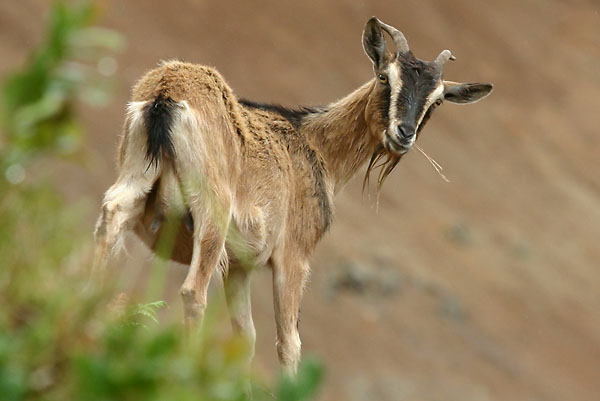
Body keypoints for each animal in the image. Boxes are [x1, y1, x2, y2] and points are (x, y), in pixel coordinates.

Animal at [94, 17, 492, 374]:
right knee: (193, 292)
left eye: (437, 101)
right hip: (213, 211)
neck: (316, 149)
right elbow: (289, 343)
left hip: (134, 181)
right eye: (384, 77)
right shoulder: (294, 256)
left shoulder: (240, 266)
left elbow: (245, 338)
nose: (403, 133)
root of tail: (166, 95)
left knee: (109, 225)